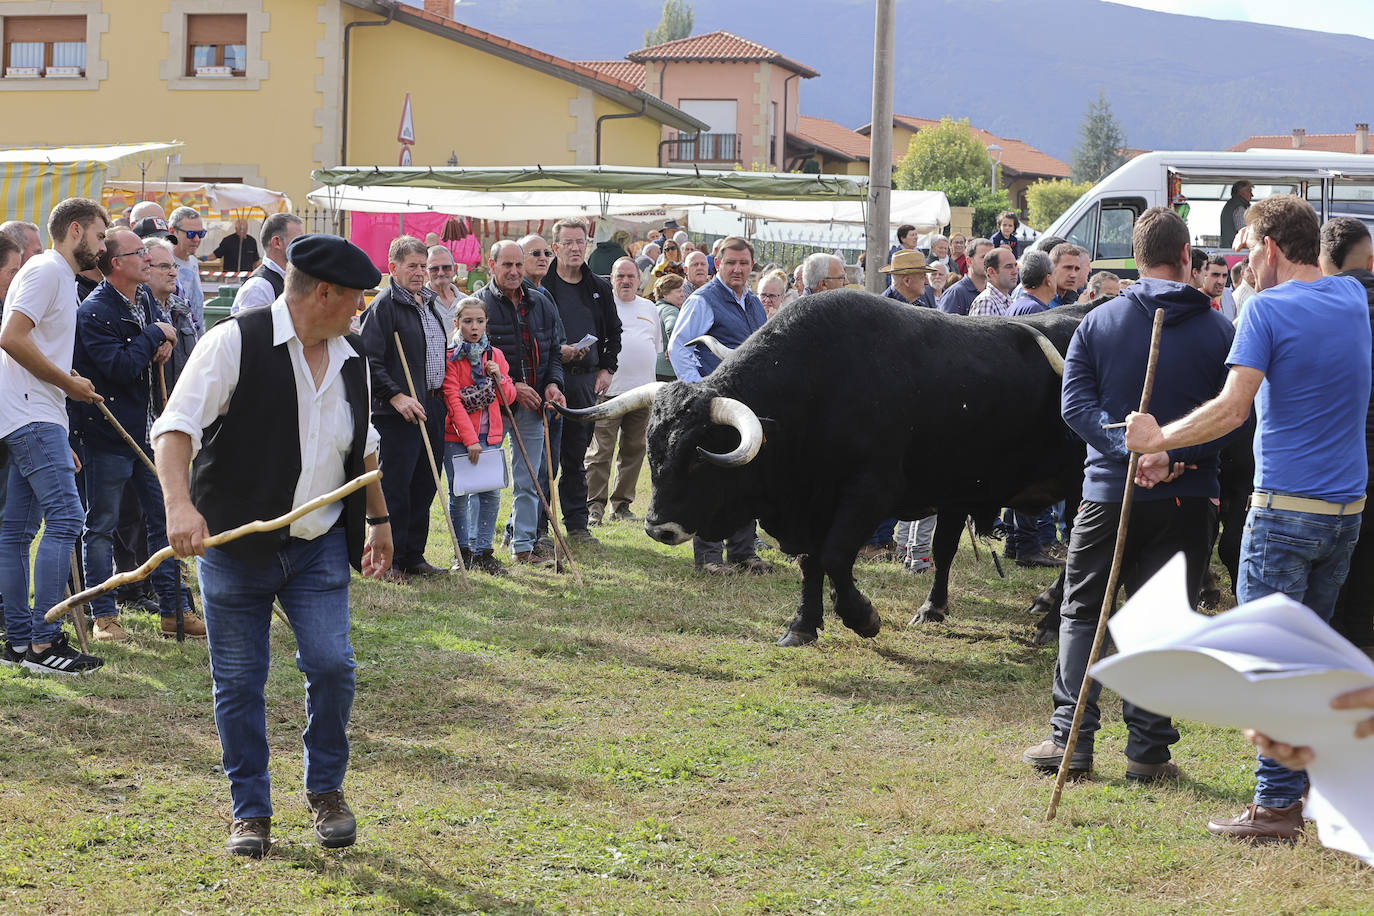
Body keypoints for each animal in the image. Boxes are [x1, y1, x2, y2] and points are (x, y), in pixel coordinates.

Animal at [560, 292, 1093, 645]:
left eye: (698, 455)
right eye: (654, 451)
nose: (658, 527)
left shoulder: (869, 493)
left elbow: (835, 556)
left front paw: (862, 617)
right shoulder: (813, 504)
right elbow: (812, 561)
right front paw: (803, 625)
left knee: (1082, 557)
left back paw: (1049, 622)